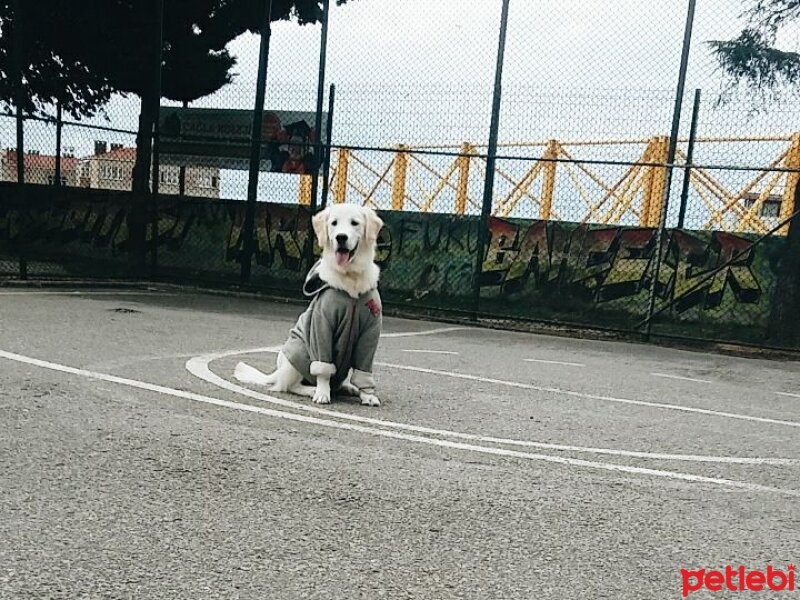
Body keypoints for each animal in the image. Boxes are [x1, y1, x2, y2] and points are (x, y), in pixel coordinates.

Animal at [234, 205, 384, 408]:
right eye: (334, 223)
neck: (350, 280)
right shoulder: (321, 326)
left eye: (355, 223)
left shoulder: (370, 333)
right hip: (298, 353)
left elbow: (364, 371)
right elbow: (323, 370)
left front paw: (367, 395)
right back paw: (312, 389)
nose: (341, 237)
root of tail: (278, 372)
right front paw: (322, 393)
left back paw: (347, 387)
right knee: (288, 386)